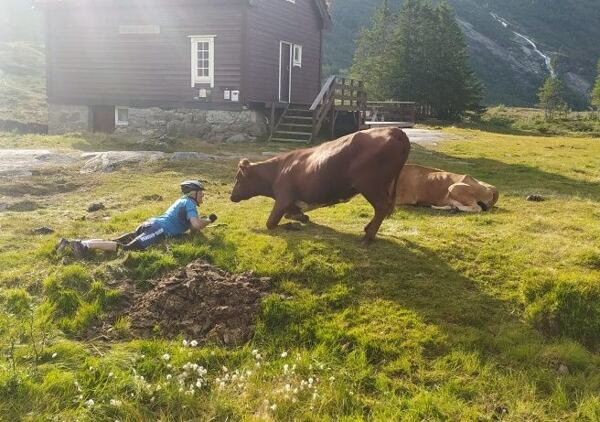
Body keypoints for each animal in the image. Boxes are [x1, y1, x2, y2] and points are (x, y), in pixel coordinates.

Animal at [231, 127, 412, 242]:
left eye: (238, 179)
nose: (231, 196)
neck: (279, 169)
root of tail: (395, 130)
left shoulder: (283, 198)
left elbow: (270, 223)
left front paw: (292, 225)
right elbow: (295, 214)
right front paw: (299, 218)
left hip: (369, 184)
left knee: (382, 206)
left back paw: (368, 237)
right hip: (384, 186)